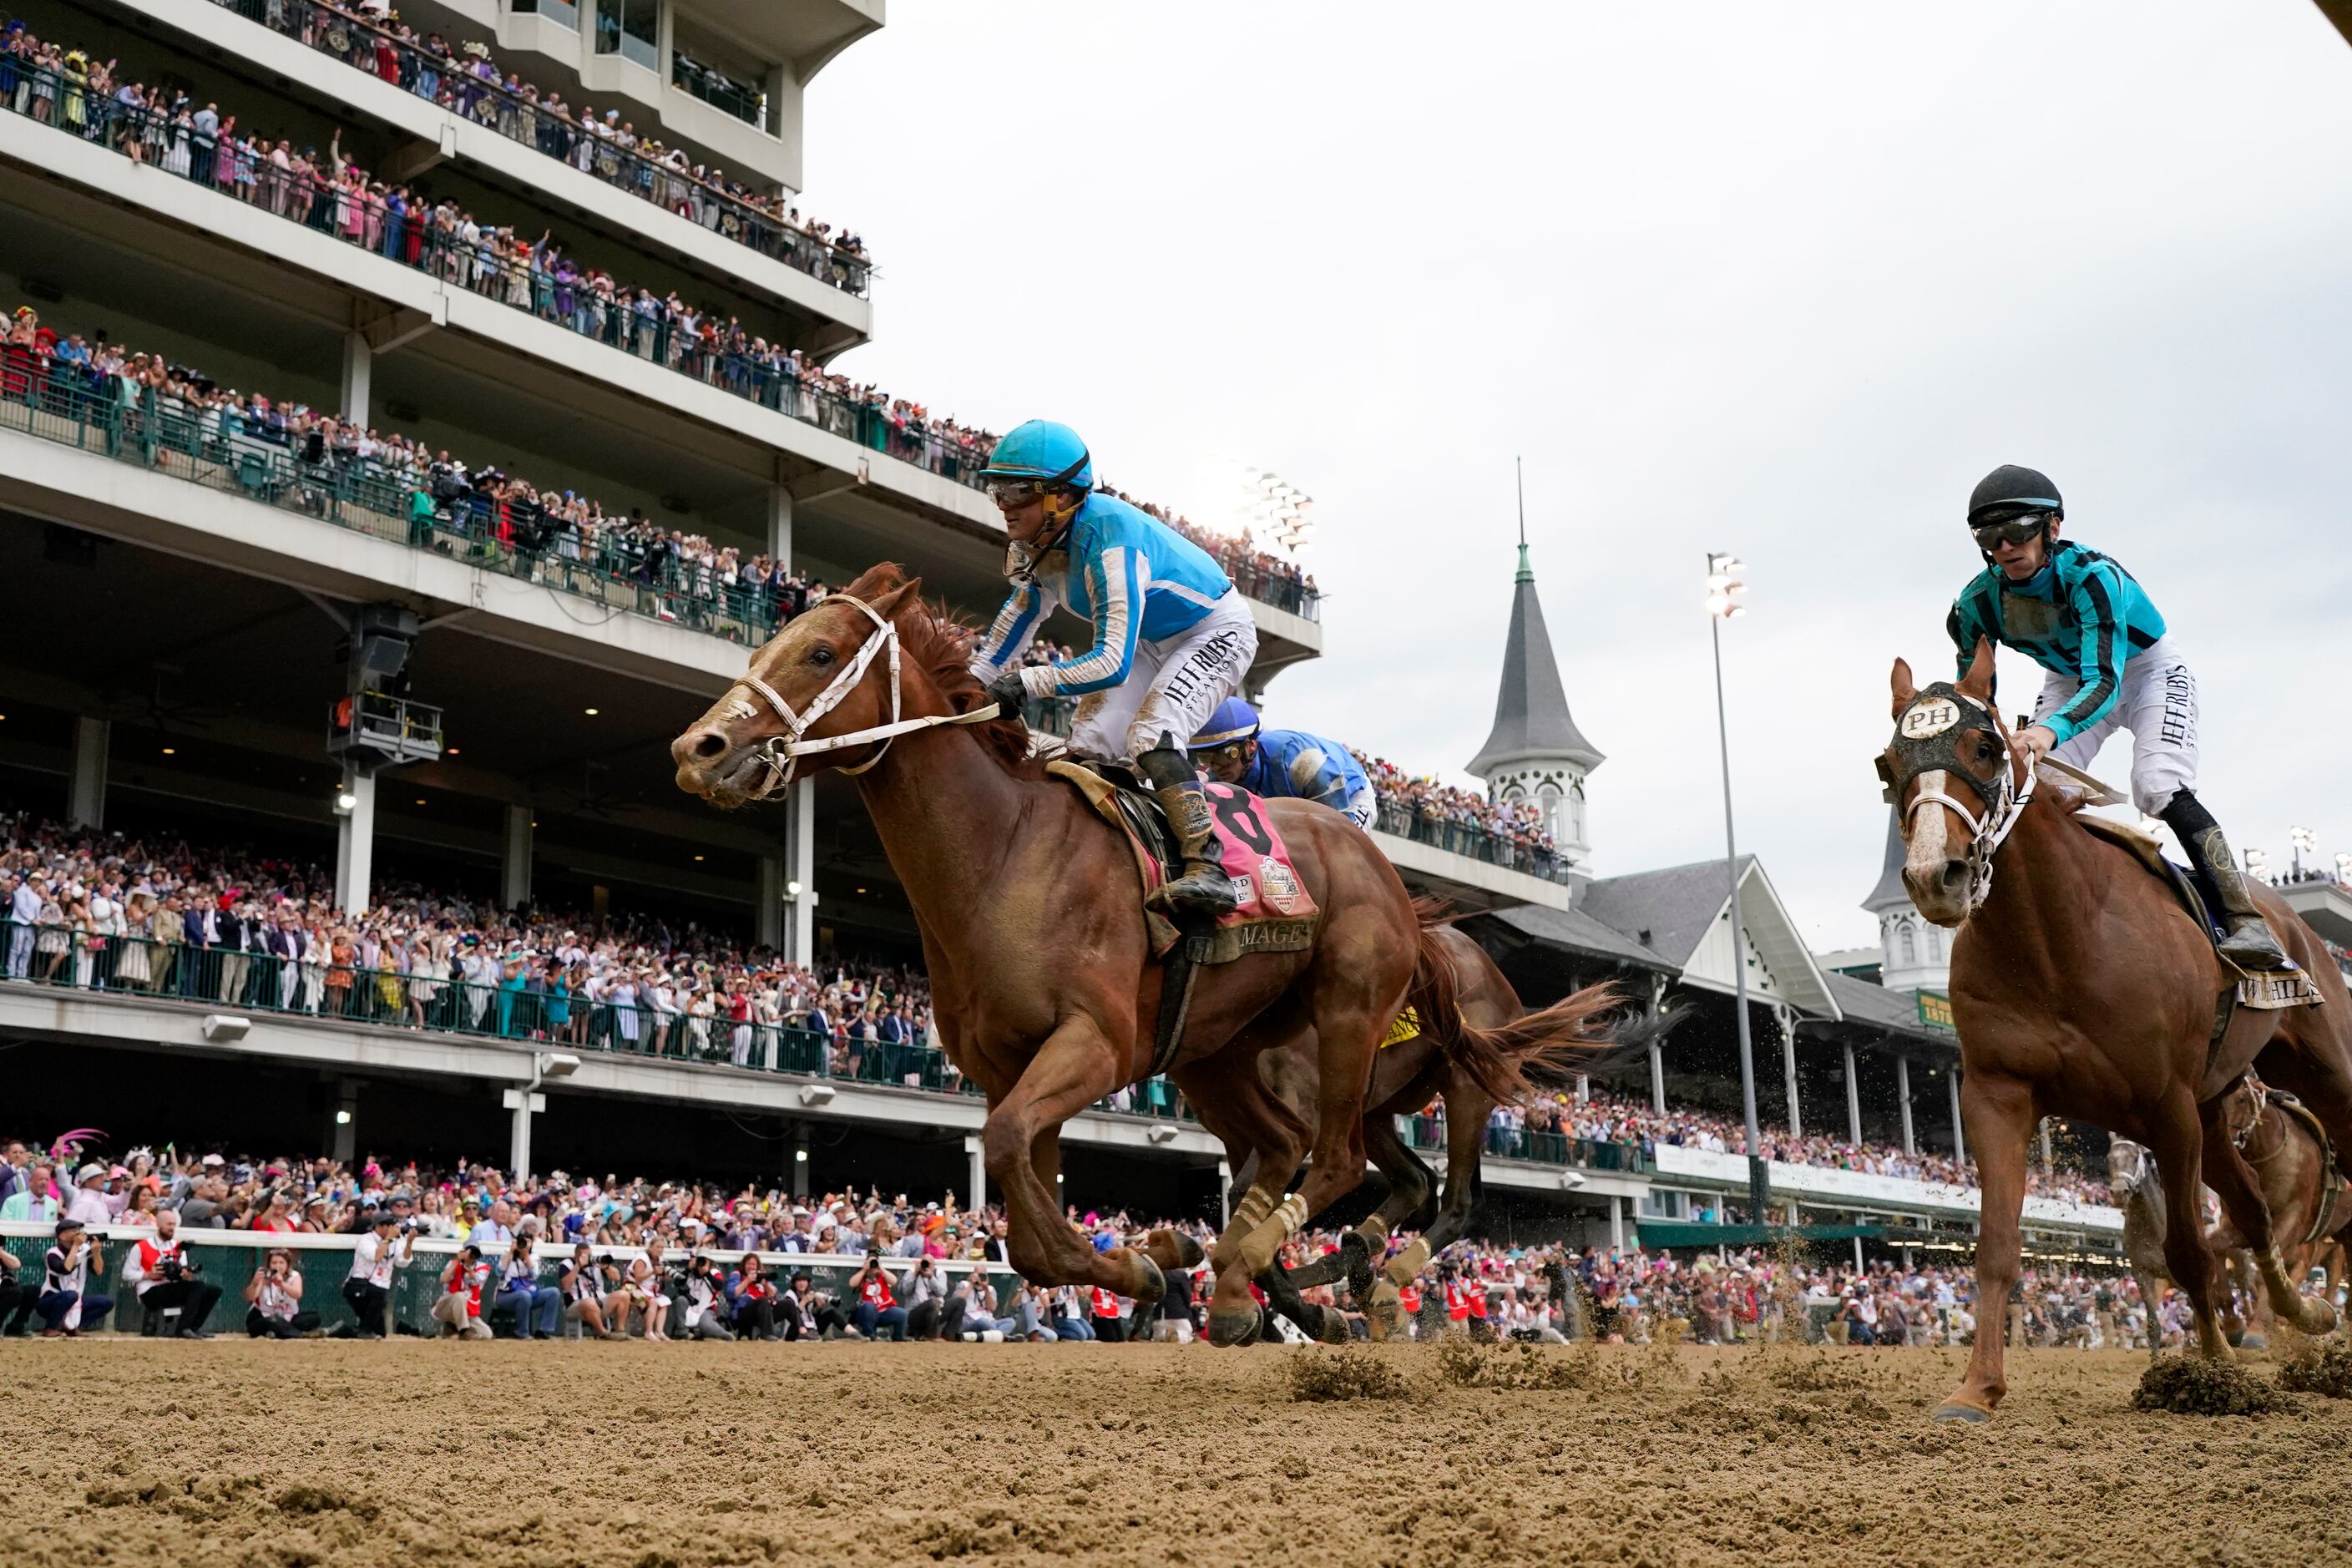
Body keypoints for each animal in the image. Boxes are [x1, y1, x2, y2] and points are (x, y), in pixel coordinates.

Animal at [672, 571, 1608, 1344]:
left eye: (821, 652)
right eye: (764, 645)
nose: (696, 751)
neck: (1005, 856)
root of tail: (1400, 894)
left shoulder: (1095, 1043)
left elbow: (1010, 1154)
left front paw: (1156, 1260)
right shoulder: (1010, 1068)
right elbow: (1026, 1223)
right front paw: (1155, 1255)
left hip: (1371, 1031)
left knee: (1377, 1171)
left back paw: (1328, 1276)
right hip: (1221, 1055)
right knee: (1318, 1157)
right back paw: (1264, 1279)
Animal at [1881, 644, 2352, 1429]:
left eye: (1983, 747)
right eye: (1887, 765)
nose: (1930, 876)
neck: (2057, 935)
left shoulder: (2165, 1106)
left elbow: (2190, 1250)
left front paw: (2213, 1371)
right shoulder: (1997, 1094)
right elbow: (1997, 1244)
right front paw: (1975, 1389)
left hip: (2319, 1070)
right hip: (2214, 1111)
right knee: (2254, 1217)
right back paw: (2305, 1313)